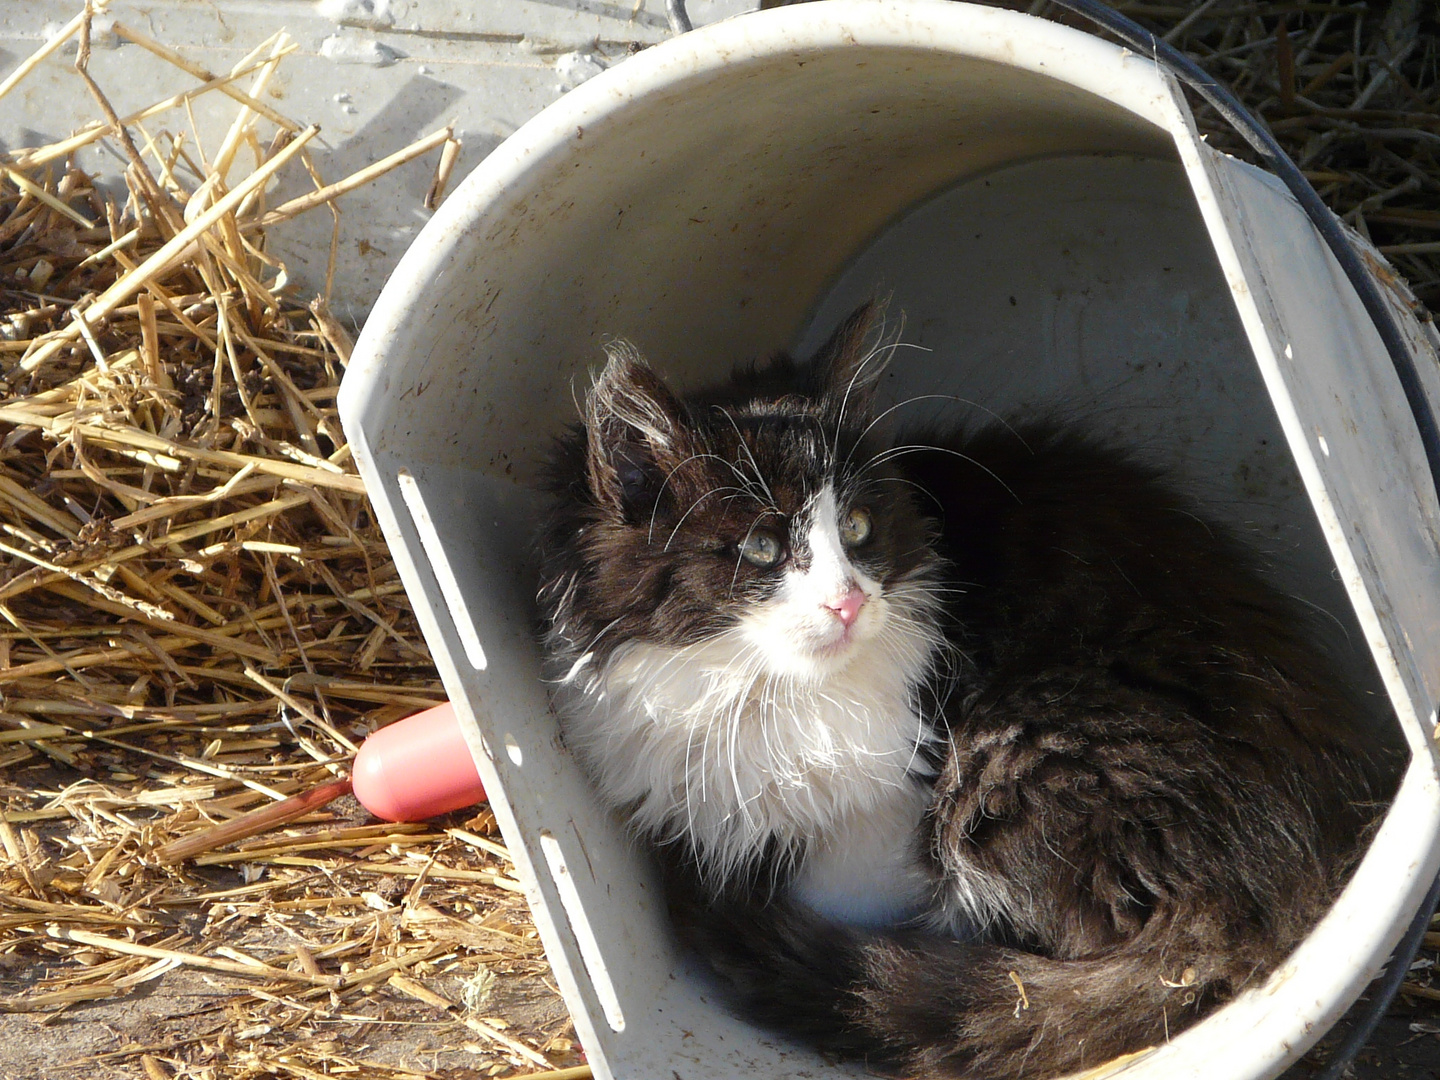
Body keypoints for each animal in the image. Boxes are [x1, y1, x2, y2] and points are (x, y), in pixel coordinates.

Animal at [538, 305, 1393, 1080]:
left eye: (857, 528)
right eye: (762, 546)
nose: (849, 603)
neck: (759, 692)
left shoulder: (887, 817)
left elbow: (849, 904)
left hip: (1017, 753)